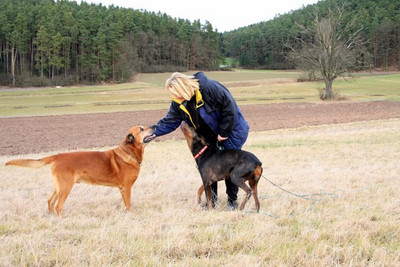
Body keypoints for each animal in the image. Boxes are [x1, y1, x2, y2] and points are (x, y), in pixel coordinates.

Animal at [6, 126, 156, 218]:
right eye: (141, 129)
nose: (154, 126)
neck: (129, 152)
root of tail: (58, 156)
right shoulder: (125, 188)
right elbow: (128, 204)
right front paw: (130, 215)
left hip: (58, 187)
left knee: (50, 201)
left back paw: (53, 217)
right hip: (65, 187)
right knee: (58, 205)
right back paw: (63, 219)